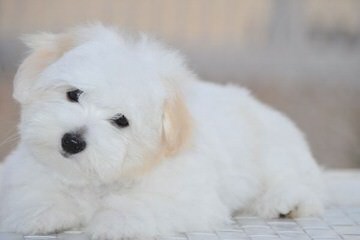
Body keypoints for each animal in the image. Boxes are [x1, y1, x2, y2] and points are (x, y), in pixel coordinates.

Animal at [0, 24, 324, 240]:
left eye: (120, 121)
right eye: (73, 94)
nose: (72, 140)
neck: (97, 181)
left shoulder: (187, 197)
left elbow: (142, 205)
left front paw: (113, 222)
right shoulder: (20, 172)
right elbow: (30, 191)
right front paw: (45, 210)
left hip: (273, 150)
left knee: (300, 182)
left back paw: (286, 202)